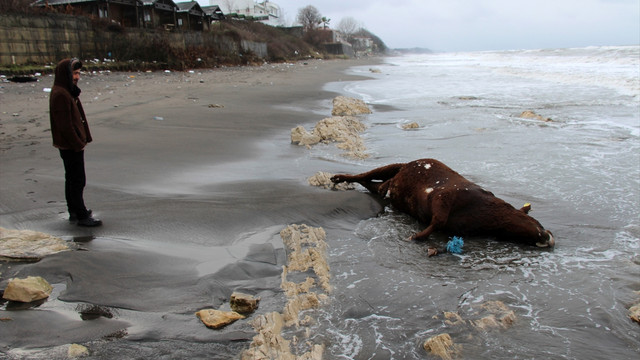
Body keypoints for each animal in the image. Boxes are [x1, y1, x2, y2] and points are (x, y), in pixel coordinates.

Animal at [330, 160, 556, 248]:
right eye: (537, 221)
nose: (550, 237)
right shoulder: (445, 196)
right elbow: (438, 220)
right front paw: (415, 236)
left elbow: (438, 222)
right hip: (393, 166)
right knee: (363, 176)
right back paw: (338, 178)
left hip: (388, 184)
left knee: (373, 185)